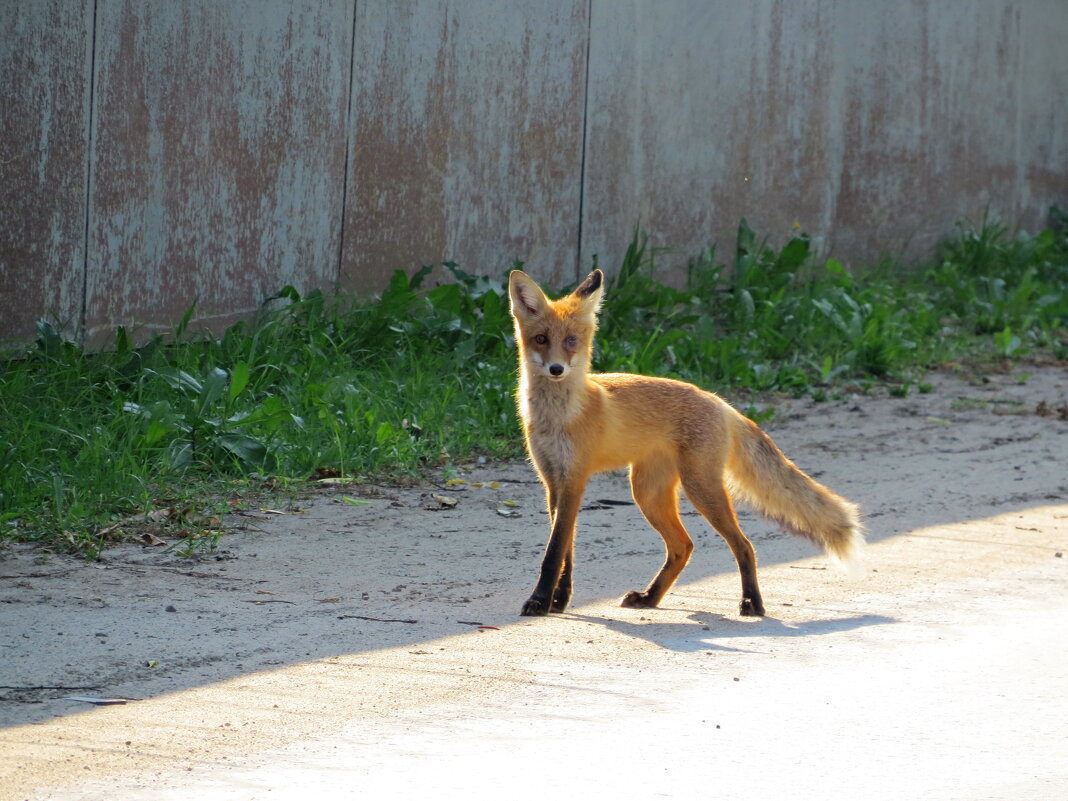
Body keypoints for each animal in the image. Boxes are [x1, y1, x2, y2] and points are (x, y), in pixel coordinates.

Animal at [504, 267, 862, 619]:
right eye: (541, 339)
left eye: (571, 341)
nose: (556, 369)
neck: (558, 417)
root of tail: (720, 402)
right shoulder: (553, 481)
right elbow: (566, 552)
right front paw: (558, 600)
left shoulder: (575, 479)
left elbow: (554, 552)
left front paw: (540, 602)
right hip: (648, 493)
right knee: (683, 546)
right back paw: (650, 597)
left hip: (700, 488)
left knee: (743, 545)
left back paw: (752, 603)